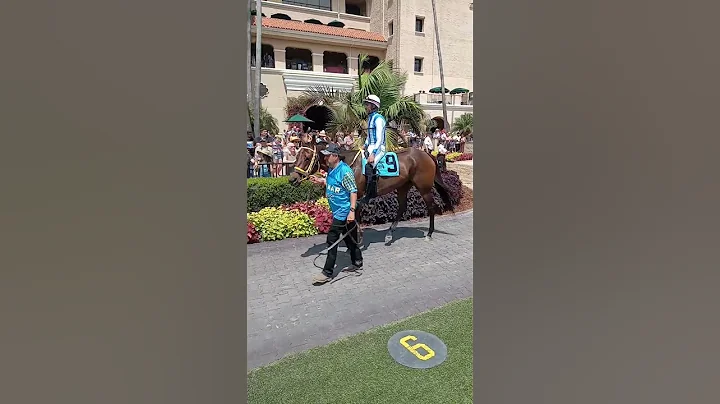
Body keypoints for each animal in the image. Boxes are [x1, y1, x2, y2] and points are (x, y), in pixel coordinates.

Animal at [286, 140, 450, 243]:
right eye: (297, 155)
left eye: (307, 157)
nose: (292, 179)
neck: (348, 163)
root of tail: (427, 154)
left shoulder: (357, 195)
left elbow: (355, 217)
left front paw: (357, 239)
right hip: (403, 186)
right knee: (402, 207)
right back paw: (389, 233)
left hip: (424, 188)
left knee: (431, 206)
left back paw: (429, 233)